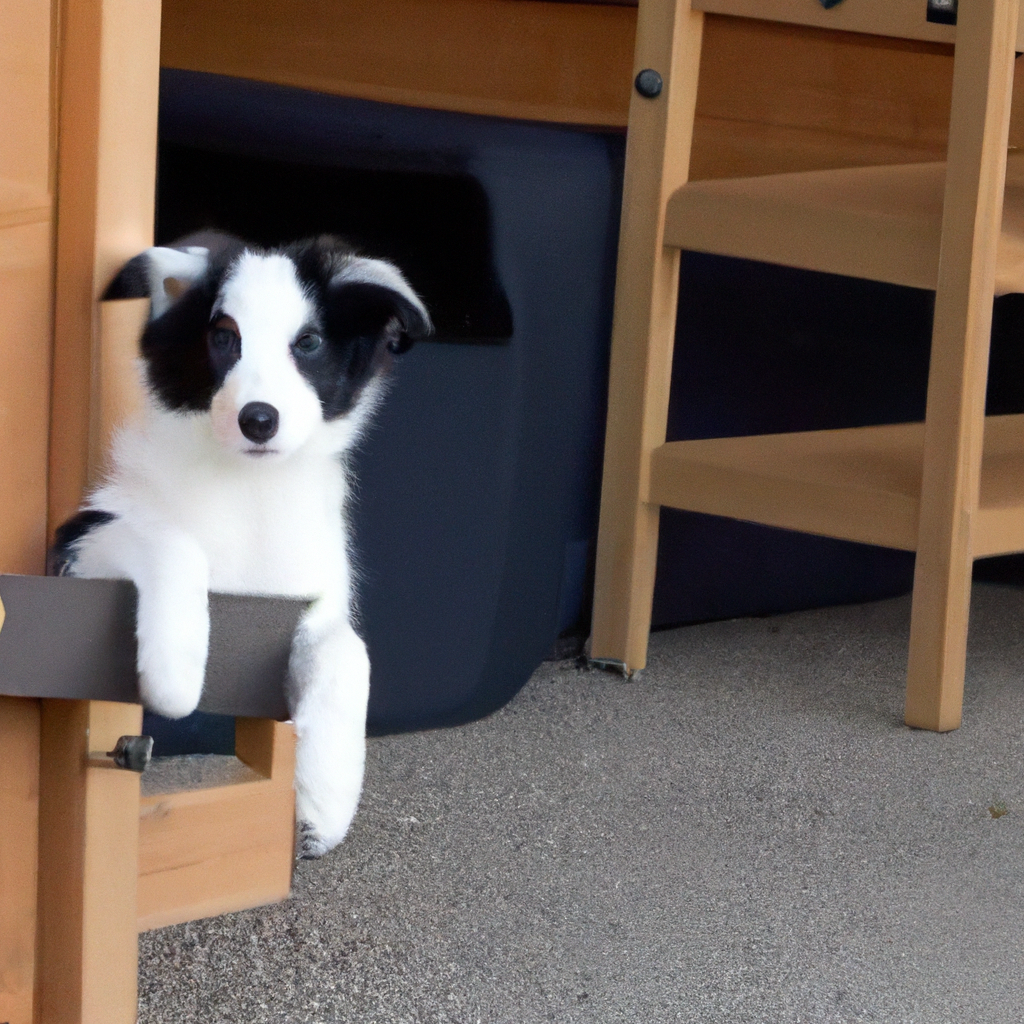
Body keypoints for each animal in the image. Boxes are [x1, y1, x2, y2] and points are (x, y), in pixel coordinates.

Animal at [49, 234, 432, 856]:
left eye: (308, 342)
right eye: (224, 337)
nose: (259, 421)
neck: (248, 487)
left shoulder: (307, 603)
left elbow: (349, 655)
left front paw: (323, 806)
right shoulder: (79, 540)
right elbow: (178, 545)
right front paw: (176, 675)